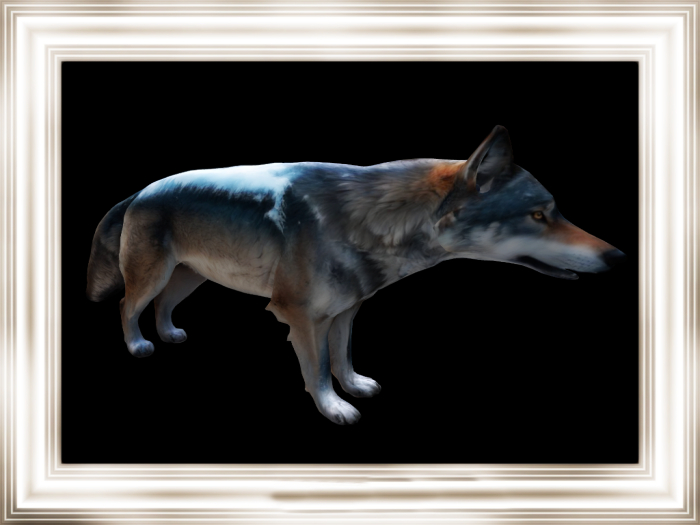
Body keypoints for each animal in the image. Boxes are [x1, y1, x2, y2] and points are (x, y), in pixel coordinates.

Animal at [86, 125, 626, 425]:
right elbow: (320, 368)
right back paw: (140, 345)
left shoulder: (346, 312)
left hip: (188, 278)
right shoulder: (301, 318)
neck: (374, 223)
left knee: (161, 307)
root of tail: (139, 191)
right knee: (126, 304)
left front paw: (355, 387)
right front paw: (334, 409)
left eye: (554, 212)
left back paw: (169, 334)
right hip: (157, 276)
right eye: (539, 215)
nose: (619, 257)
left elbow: (344, 357)